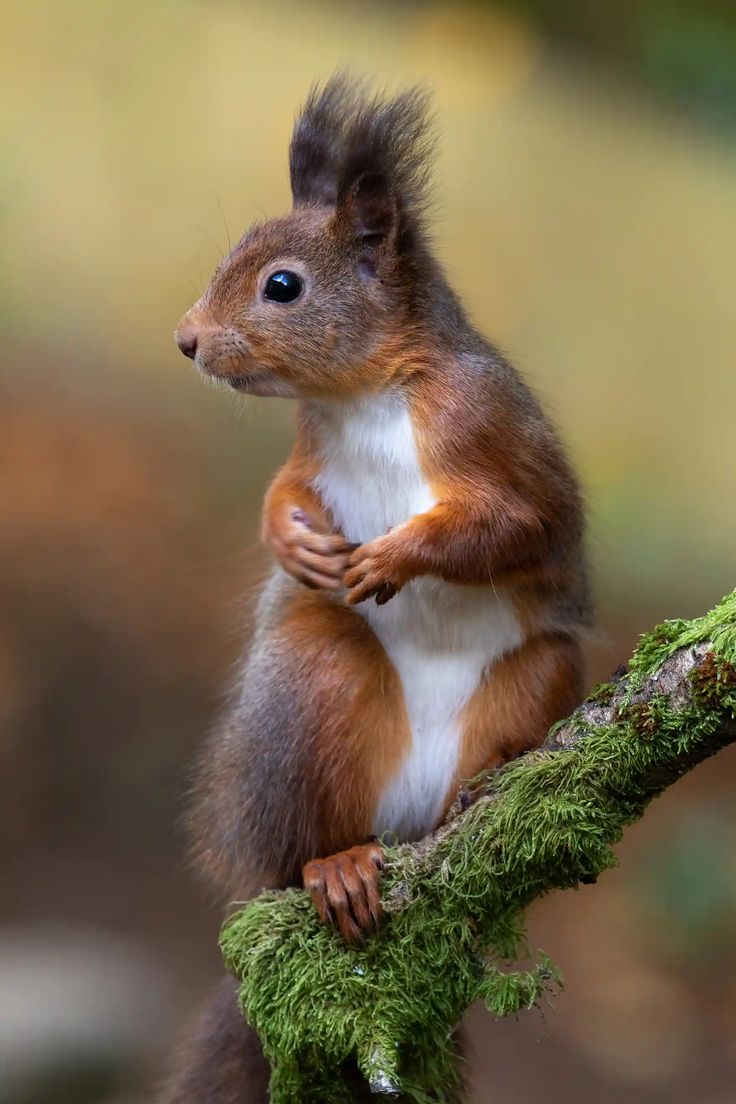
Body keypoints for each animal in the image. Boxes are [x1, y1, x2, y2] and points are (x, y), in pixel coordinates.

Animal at [162, 75, 591, 1104]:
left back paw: (476, 795)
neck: (362, 394)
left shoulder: (492, 434)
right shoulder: (310, 448)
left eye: (283, 285)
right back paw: (338, 867)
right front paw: (294, 540)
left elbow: (518, 526)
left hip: (540, 672)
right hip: (314, 685)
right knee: (306, 841)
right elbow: (282, 492)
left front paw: (394, 558)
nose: (186, 341)